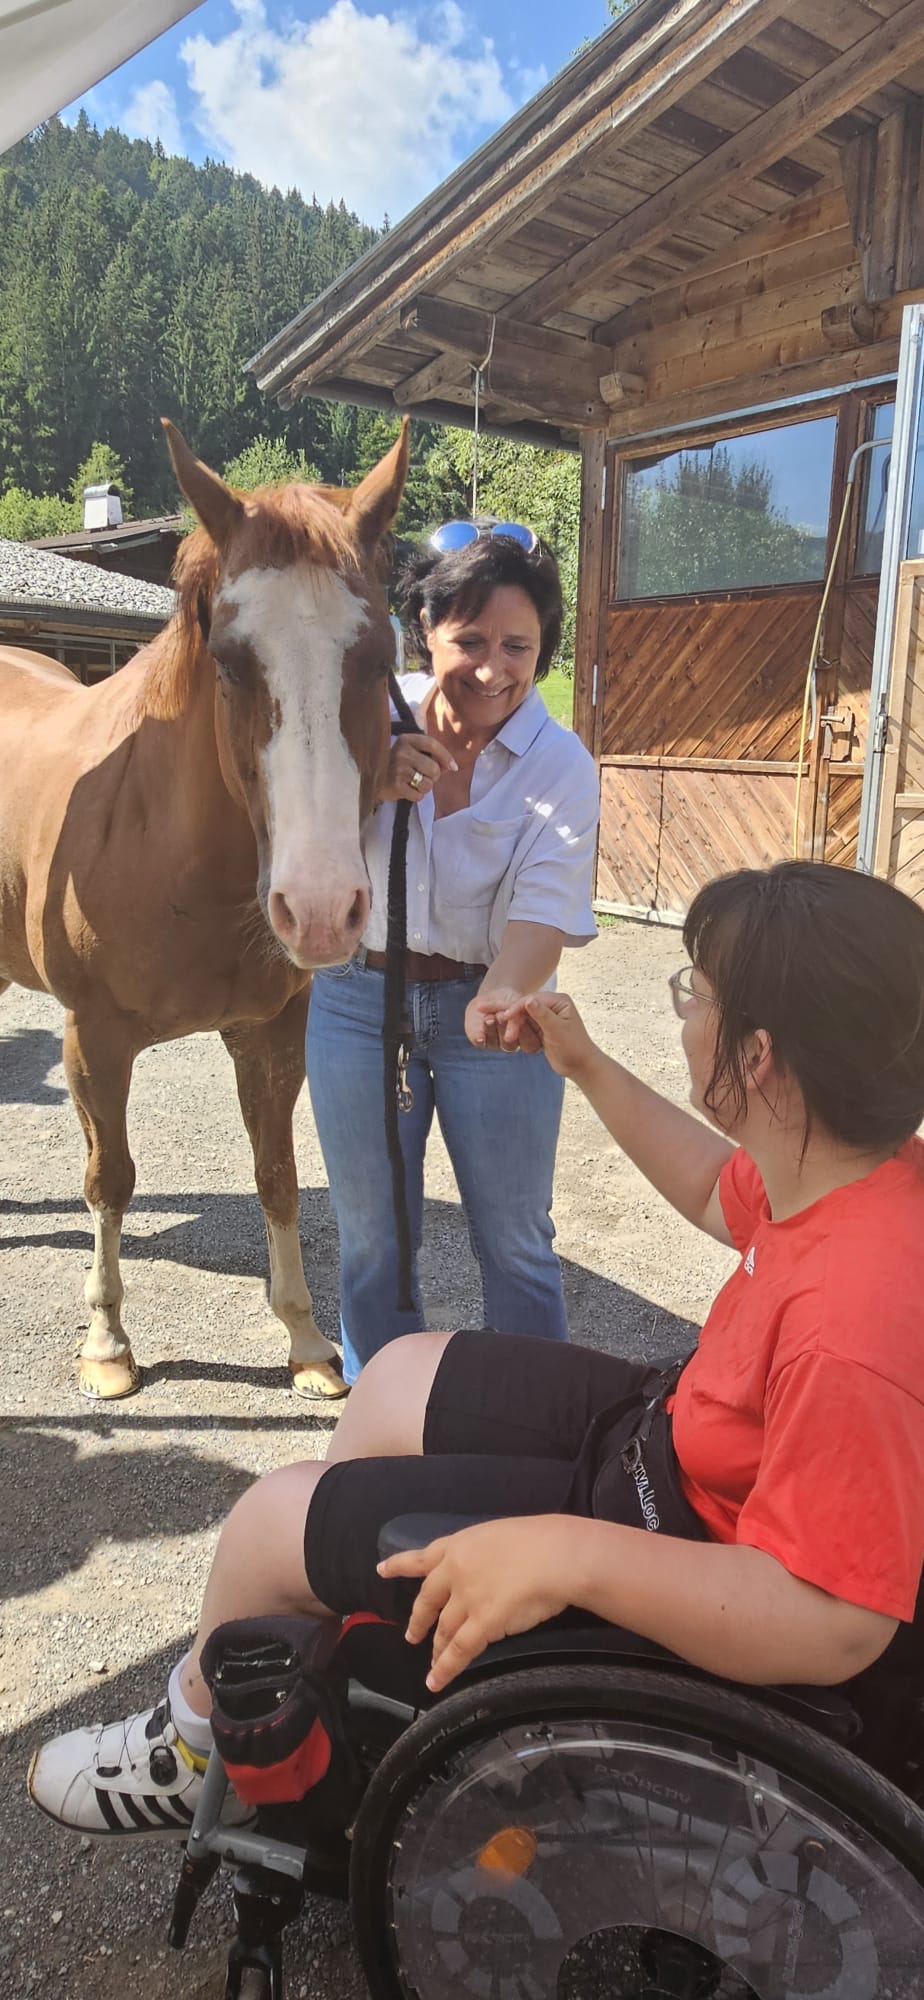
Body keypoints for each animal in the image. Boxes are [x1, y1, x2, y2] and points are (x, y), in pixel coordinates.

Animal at [0, 418, 409, 1402]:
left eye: (379, 656)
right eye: (229, 660)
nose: (322, 910)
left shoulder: (272, 1034)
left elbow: (279, 1174)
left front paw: (306, 1340)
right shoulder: (95, 1039)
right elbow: (109, 1179)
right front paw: (108, 1344)